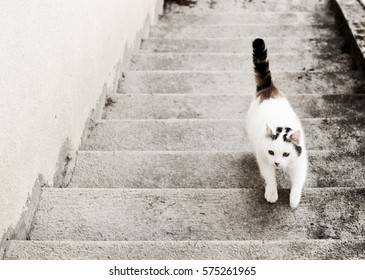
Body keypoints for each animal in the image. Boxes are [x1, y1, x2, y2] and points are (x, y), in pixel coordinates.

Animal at [245, 37, 308, 208]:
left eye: (286, 154)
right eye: (271, 152)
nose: (277, 163)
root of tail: (268, 89)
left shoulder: (300, 162)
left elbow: (298, 182)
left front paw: (294, 199)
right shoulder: (264, 160)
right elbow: (270, 178)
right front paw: (272, 193)